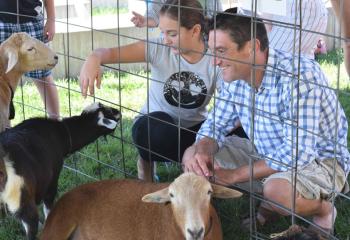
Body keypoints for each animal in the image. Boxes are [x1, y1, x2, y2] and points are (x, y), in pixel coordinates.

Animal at [0, 102, 121, 240]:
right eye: (109, 112)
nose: (118, 111)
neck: (62, 133)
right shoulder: (52, 179)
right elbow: (48, 208)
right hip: (21, 199)